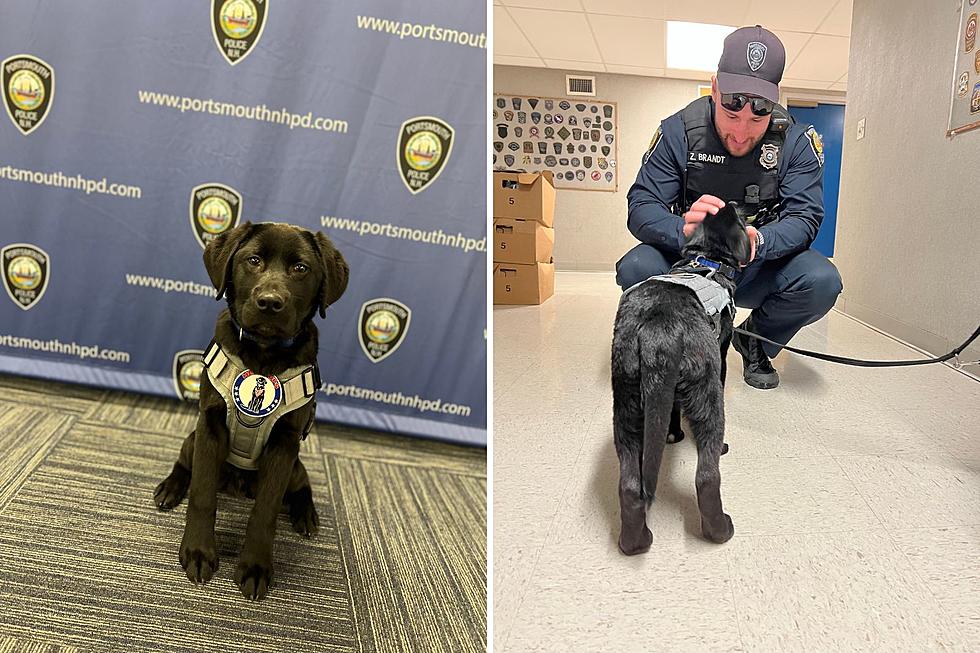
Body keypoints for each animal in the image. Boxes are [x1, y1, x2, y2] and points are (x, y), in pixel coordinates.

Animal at [612, 204, 752, 556]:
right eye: (738, 217)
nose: (738, 205)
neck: (705, 260)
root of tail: (657, 330)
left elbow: (672, 411)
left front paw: (673, 433)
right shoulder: (721, 353)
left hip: (627, 406)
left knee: (630, 486)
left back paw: (634, 543)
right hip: (708, 396)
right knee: (706, 477)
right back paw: (720, 530)